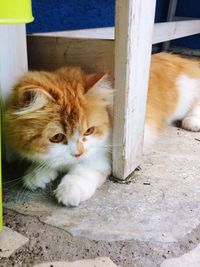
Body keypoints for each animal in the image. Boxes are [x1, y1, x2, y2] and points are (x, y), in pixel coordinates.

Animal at [4, 52, 200, 207]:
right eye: (57, 137)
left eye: (89, 131)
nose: (78, 153)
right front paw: (37, 173)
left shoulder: (108, 152)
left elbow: (85, 169)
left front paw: (70, 189)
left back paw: (192, 122)